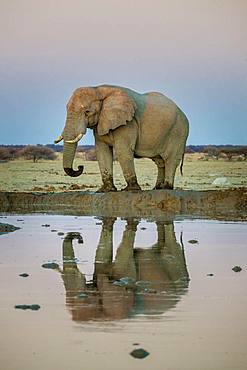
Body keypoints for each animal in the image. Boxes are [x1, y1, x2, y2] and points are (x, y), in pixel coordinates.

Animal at [54, 85, 189, 192]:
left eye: (87, 112)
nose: (80, 167)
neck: (98, 89)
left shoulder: (128, 123)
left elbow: (122, 151)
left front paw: (131, 190)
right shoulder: (101, 122)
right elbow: (102, 151)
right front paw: (106, 190)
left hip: (178, 132)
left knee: (170, 160)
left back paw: (166, 187)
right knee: (160, 161)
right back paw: (158, 188)